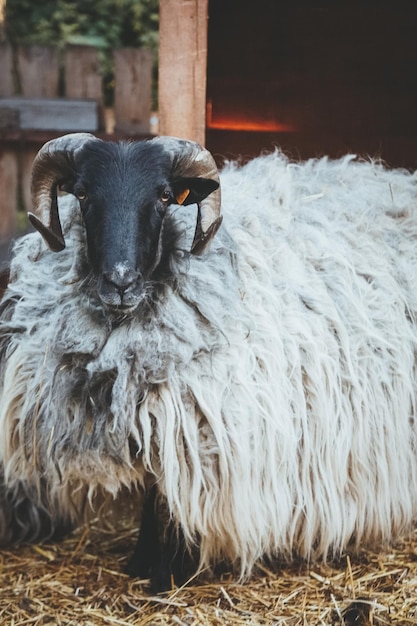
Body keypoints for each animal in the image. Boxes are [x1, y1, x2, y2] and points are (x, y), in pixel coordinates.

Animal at [0, 132, 416, 588]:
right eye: (82, 193)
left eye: (164, 196)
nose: (121, 281)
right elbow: (152, 486)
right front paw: (144, 563)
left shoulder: (194, 419)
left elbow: (161, 493)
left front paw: (167, 572)